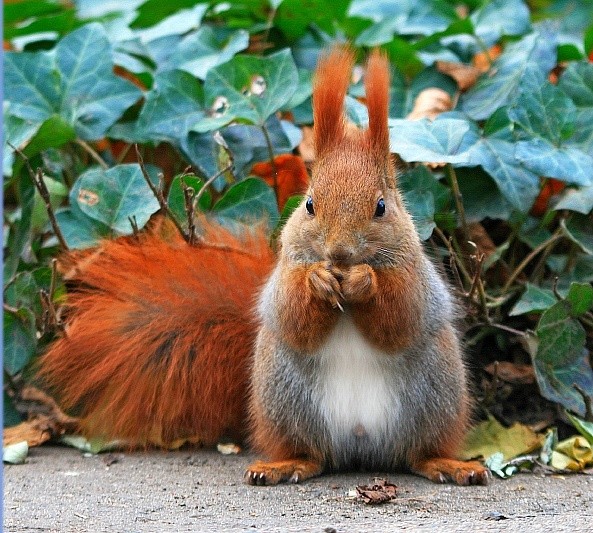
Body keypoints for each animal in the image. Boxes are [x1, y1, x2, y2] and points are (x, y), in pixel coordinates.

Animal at [38, 46, 490, 486]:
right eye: (309, 204)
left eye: (381, 207)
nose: (339, 253)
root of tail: (361, 450)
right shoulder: (282, 279)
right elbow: (292, 315)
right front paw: (317, 281)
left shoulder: (418, 281)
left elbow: (401, 317)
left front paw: (365, 281)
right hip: (285, 399)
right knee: (312, 453)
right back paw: (285, 465)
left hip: (434, 397)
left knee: (418, 452)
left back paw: (448, 465)